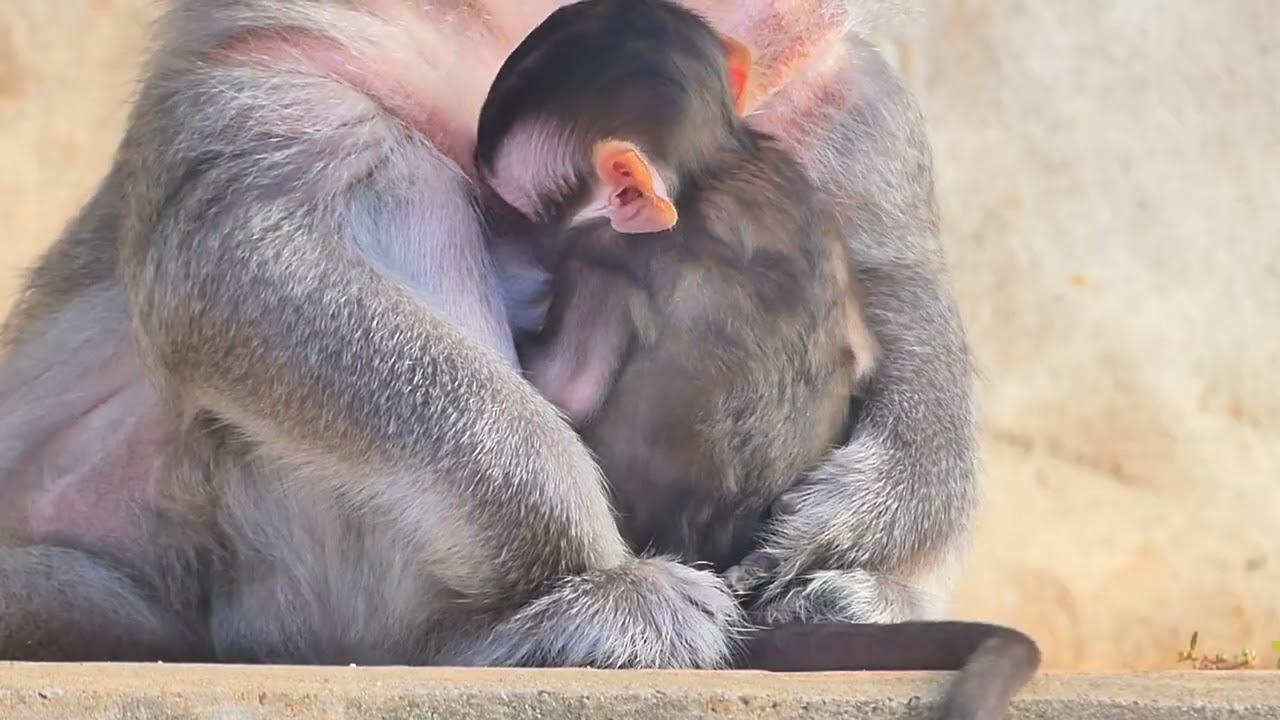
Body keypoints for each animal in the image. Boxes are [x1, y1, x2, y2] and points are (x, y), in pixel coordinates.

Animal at [0, 0, 980, 680]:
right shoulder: (284, 29)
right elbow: (238, 261)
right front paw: (585, 564)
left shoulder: (836, 88)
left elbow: (894, 291)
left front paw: (847, 542)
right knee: (395, 174)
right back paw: (520, 629)